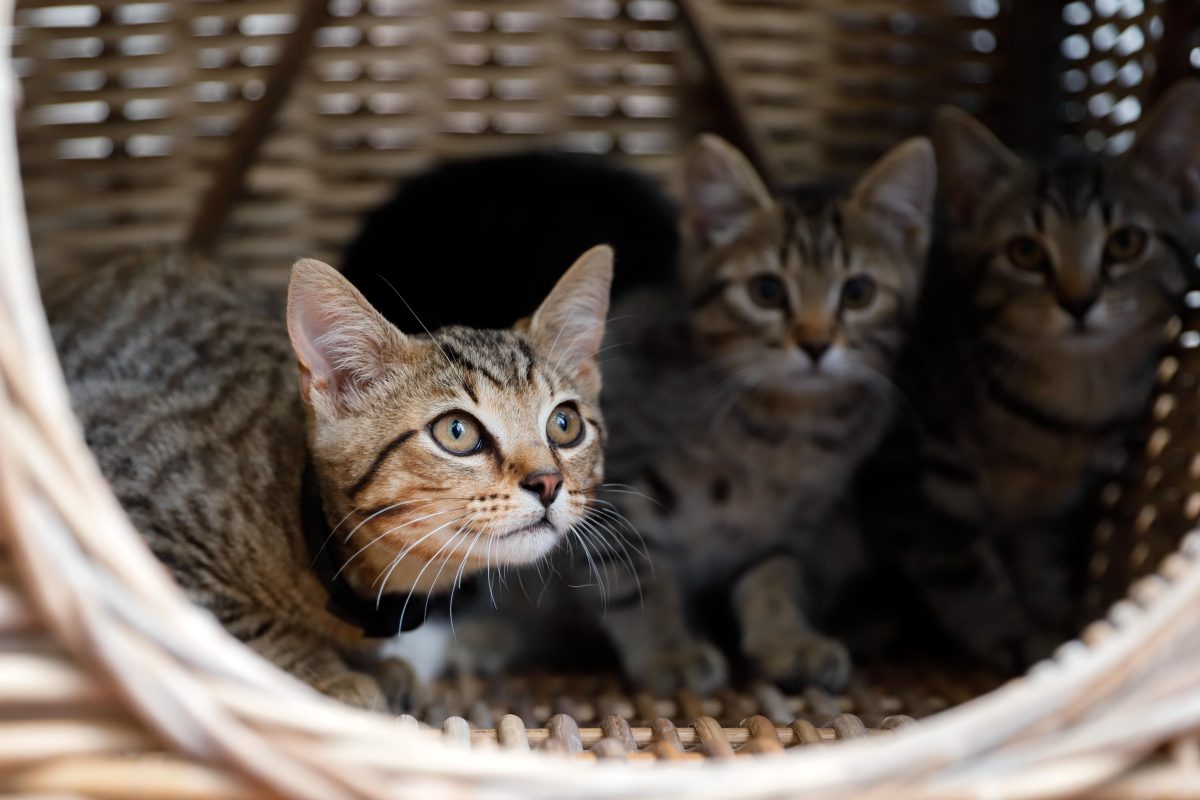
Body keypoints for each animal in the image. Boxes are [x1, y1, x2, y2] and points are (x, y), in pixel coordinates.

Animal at [590, 134, 936, 690]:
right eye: (767, 291)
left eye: (858, 292)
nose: (815, 345)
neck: (787, 427)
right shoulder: (611, 485)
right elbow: (637, 576)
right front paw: (668, 651)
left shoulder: (789, 521)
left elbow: (775, 573)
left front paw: (786, 639)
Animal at [859, 82, 1200, 671]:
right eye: (1025, 252)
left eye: (1125, 243)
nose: (1078, 302)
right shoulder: (916, 468)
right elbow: (960, 563)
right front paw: (1011, 634)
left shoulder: (1053, 503)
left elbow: (1037, 553)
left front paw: (1052, 614)